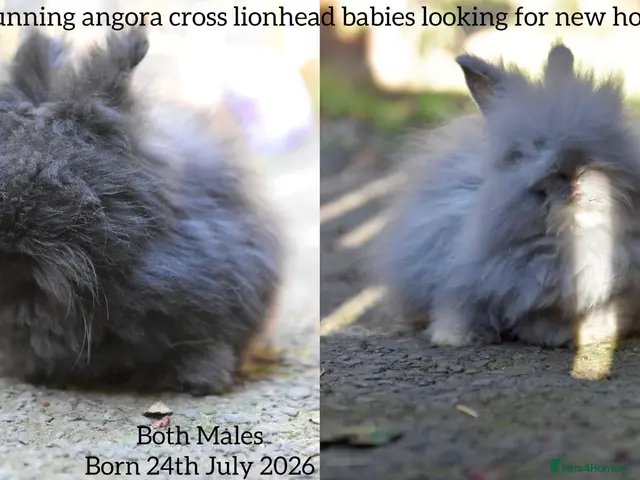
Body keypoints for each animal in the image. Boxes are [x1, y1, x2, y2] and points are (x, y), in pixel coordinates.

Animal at [372, 43, 640, 348]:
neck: (569, 238)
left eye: (608, 134)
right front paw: (454, 337)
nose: (572, 172)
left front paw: (581, 333)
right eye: (519, 153)